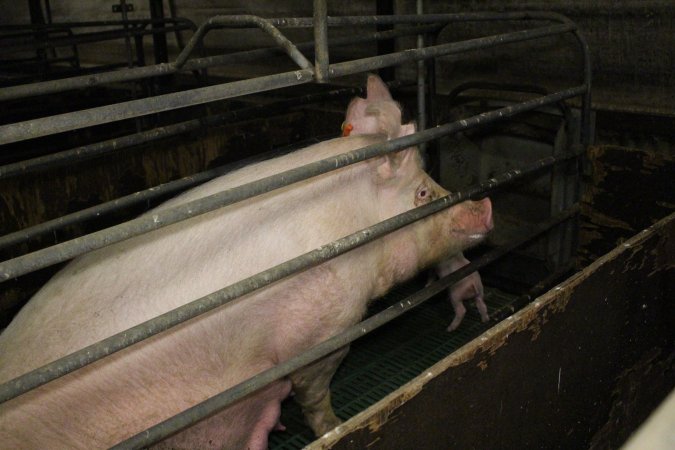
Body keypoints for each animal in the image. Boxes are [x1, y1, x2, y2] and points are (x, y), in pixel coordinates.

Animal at [0, 75, 492, 448]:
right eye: (422, 193)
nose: (484, 205)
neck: (352, 229)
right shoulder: (321, 331)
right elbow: (314, 394)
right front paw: (334, 429)